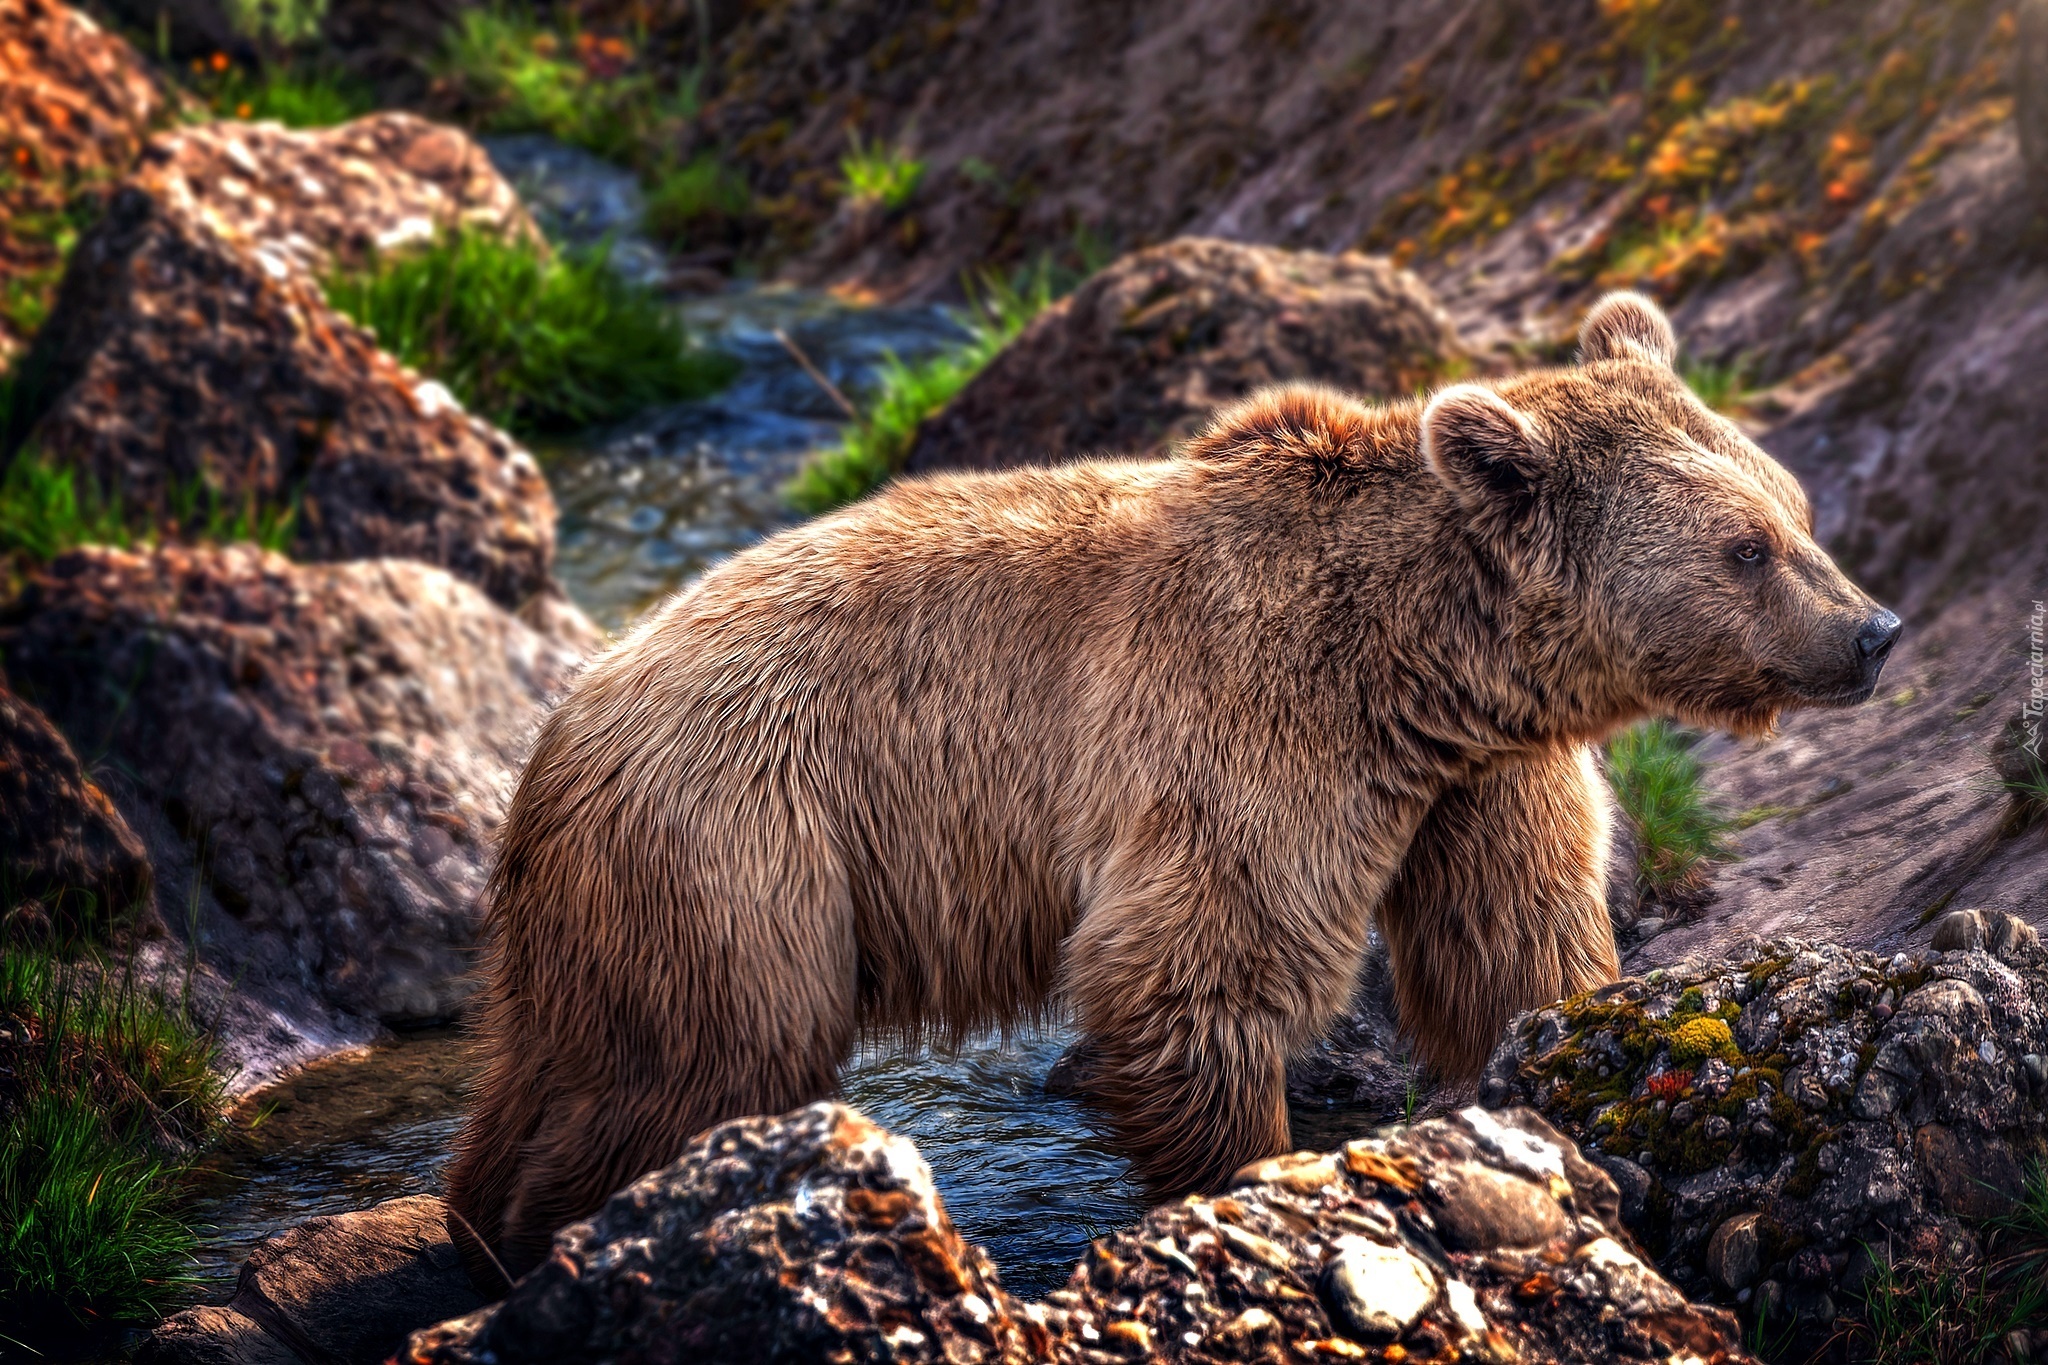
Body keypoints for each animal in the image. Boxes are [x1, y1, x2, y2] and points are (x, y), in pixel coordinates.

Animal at [448, 294, 1900, 1285]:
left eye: (1792, 506)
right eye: (1743, 545)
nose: (1874, 629)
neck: (1424, 668)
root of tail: (565, 715)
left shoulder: (1479, 786)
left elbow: (1511, 947)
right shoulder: (1247, 732)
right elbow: (1200, 970)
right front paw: (1254, 1179)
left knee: (567, 1061)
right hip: (742, 840)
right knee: (702, 1065)